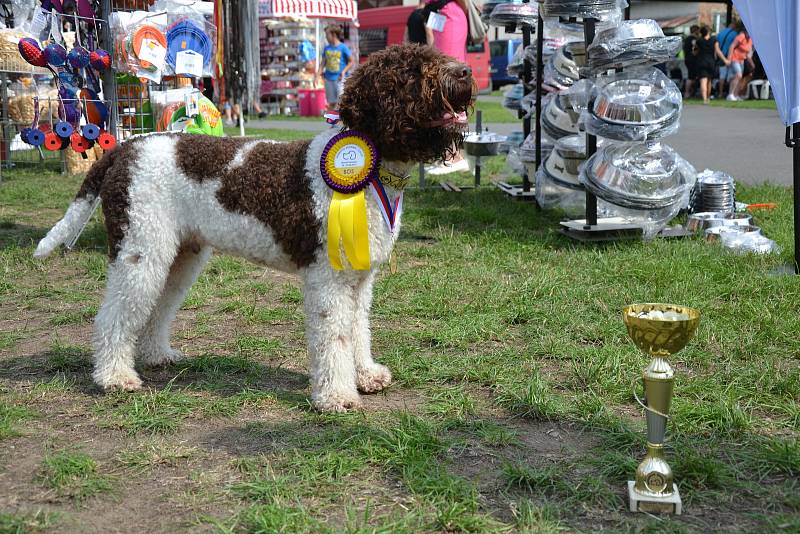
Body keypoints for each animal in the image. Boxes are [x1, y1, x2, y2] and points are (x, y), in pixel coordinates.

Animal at [34, 46, 476, 414]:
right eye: (413, 71)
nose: (466, 71)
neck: (370, 168)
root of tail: (125, 149)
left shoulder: (359, 277)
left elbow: (358, 330)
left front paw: (366, 375)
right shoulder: (328, 279)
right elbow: (334, 337)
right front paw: (336, 396)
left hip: (179, 256)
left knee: (156, 308)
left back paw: (156, 355)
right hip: (139, 251)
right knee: (113, 316)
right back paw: (114, 376)